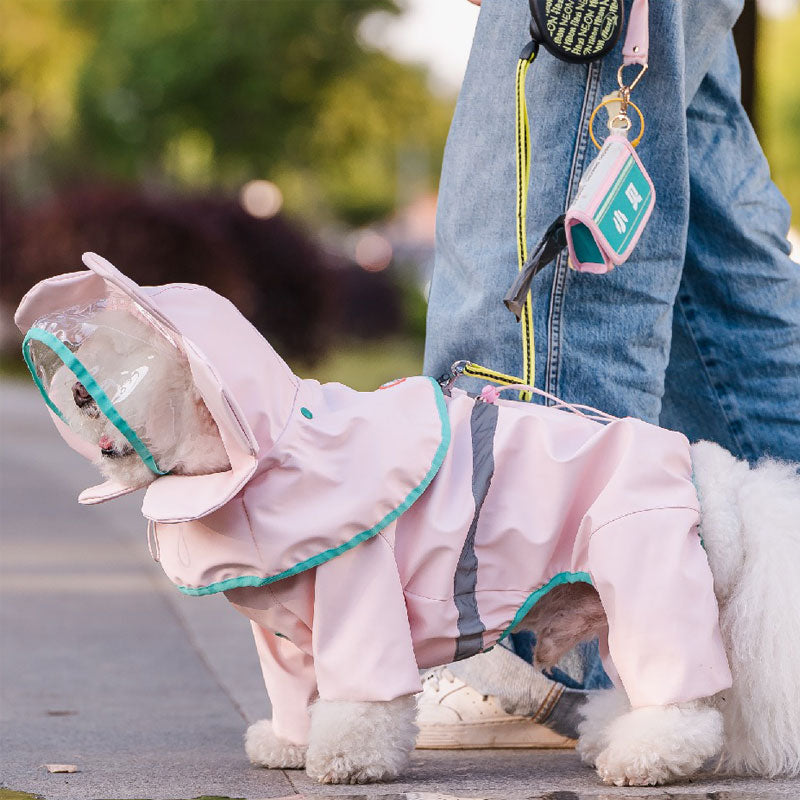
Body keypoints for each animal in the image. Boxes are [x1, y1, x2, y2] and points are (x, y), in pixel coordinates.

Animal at [18, 260, 800, 784]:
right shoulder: (284, 628)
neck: (265, 456)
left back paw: (646, 756)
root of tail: (713, 473)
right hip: (616, 602)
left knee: (682, 702)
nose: (79, 393)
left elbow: (362, 698)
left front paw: (345, 759)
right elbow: (294, 687)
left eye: (145, 353)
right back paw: (615, 737)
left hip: (646, 580)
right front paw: (288, 742)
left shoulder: (356, 592)